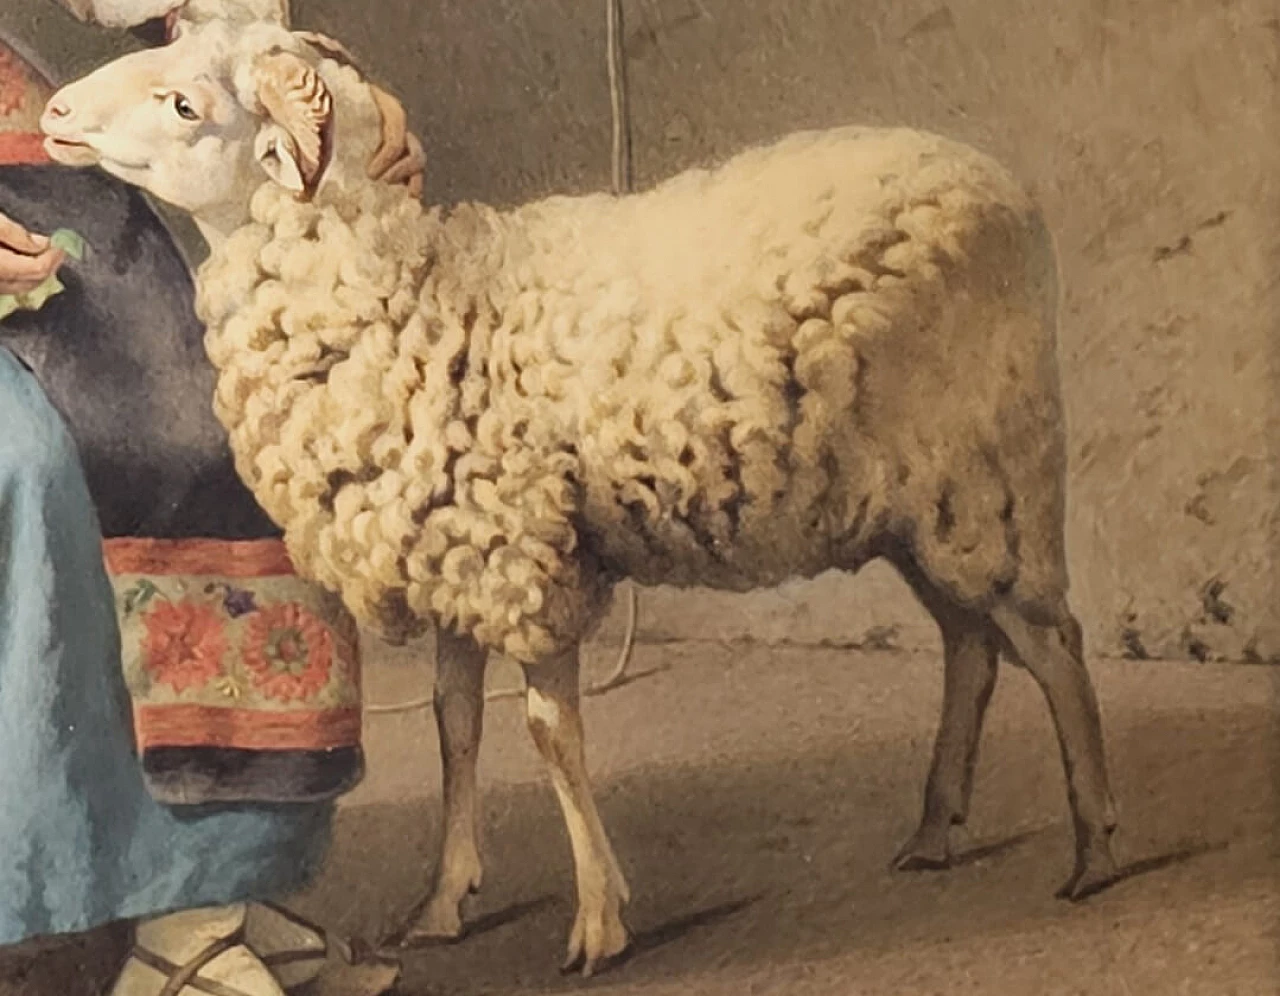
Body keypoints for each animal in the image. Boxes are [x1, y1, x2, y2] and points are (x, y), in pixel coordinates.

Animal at [41, 18, 1122, 977]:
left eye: (185, 103)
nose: (51, 112)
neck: (403, 289)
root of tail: (992, 180)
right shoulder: (455, 551)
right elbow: (454, 724)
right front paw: (442, 903)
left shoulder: (523, 553)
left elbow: (548, 736)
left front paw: (600, 920)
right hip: (914, 499)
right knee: (970, 645)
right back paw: (936, 829)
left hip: (985, 469)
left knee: (1049, 644)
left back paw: (1095, 846)